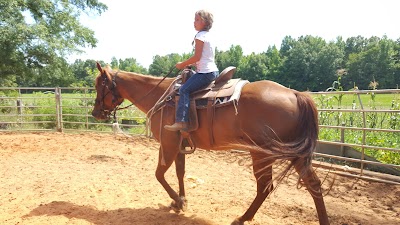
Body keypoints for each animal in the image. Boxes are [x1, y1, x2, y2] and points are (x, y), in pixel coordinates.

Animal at [92, 62, 330, 225]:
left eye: (99, 86)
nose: (95, 113)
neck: (162, 95)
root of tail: (295, 94)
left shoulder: (168, 144)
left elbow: (159, 174)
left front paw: (178, 201)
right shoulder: (179, 145)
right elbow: (180, 172)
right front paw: (180, 200)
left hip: (262, 154)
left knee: (265, 187)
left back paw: (242, 218)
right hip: (296, 156)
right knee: (314, 185)